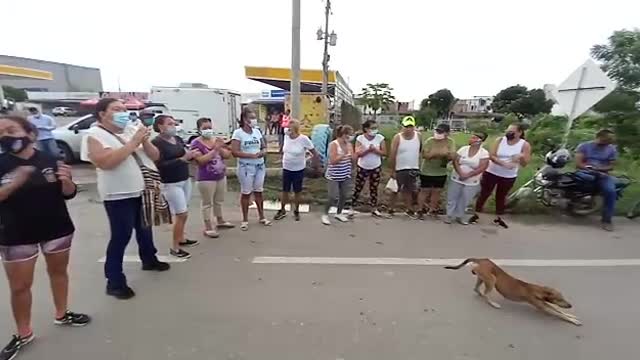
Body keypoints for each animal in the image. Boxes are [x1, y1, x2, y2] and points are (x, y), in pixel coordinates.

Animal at [444, 258, 580, 324]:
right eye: (560, 299)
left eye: (563, 298)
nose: (570, 305)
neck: (539, 291)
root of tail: (482, 259)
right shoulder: (542, 306)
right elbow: (559, 313)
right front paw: (574, 321)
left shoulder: (545, 304)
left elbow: (559, 311)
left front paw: (572, 315)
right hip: (492, 279)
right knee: (486, 293)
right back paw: (493, 303)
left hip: (483, 278)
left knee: (477, 289)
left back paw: (480, 291)